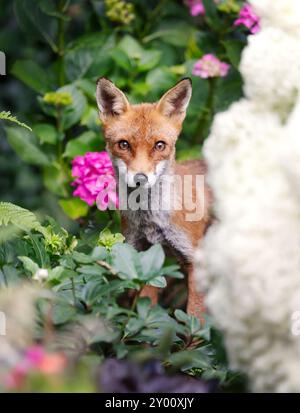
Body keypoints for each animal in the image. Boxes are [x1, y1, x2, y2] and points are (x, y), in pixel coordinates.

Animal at [96, 77, 211, 318]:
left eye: (159, 145)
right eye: (124, 144)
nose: (140, 179)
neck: (150, 219)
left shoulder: (195, 262)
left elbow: (194, 321)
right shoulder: (143, 256)